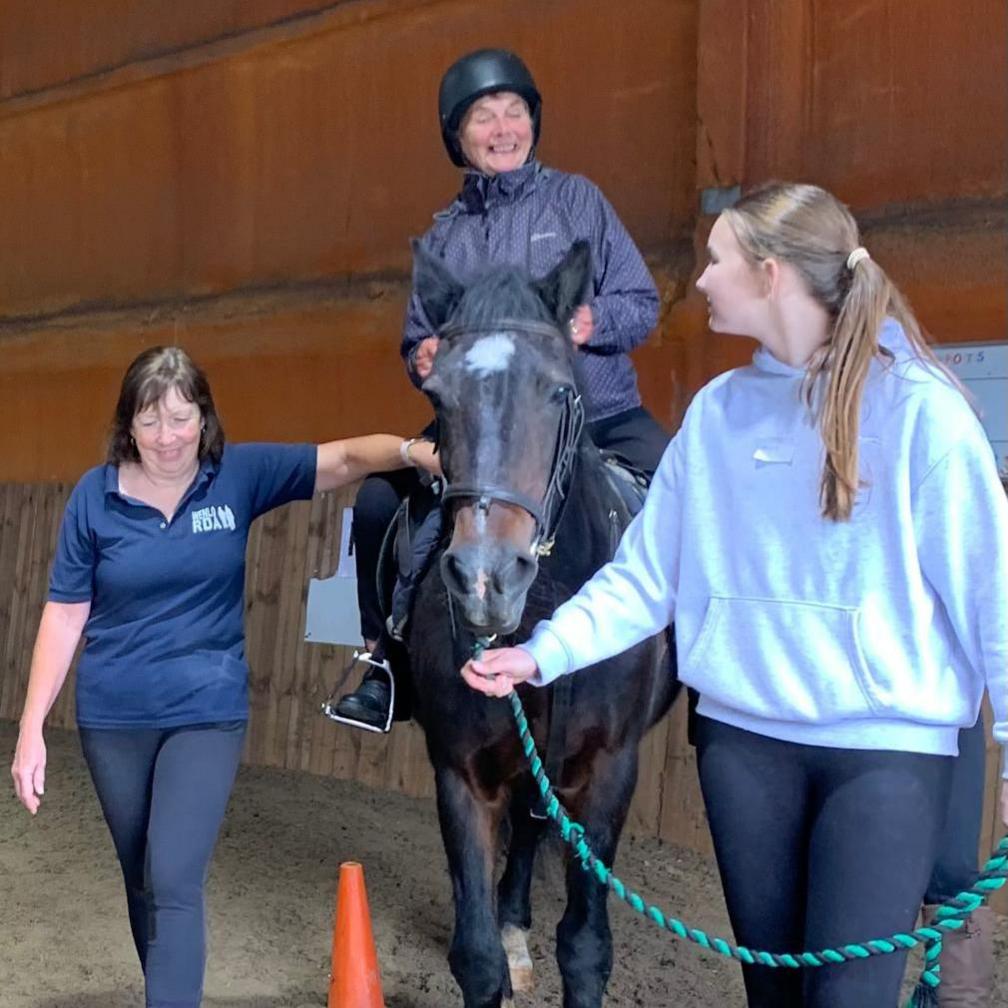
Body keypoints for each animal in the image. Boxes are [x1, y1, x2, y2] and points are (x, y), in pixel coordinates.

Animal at [401, 237, 677, 1008]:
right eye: (439, 398)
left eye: (558, 391)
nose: (485, 578)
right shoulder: (460, 772)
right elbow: (475, 954)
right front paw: (498, 943)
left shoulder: (609, 772)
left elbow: (584, 948)